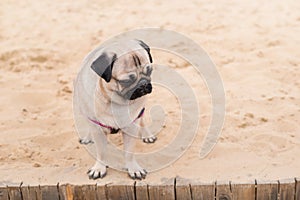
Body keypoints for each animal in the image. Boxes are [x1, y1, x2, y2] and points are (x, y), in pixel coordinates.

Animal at [73, 39, 156, 180]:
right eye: (126, 81)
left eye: (149, 72)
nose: (144, 84)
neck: (116, 102)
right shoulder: (98, 129)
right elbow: (101, 152)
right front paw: (99, 168)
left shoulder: (131, 126)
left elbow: (129, 153)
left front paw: (133, 168)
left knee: (142, 119)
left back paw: (147, 135)